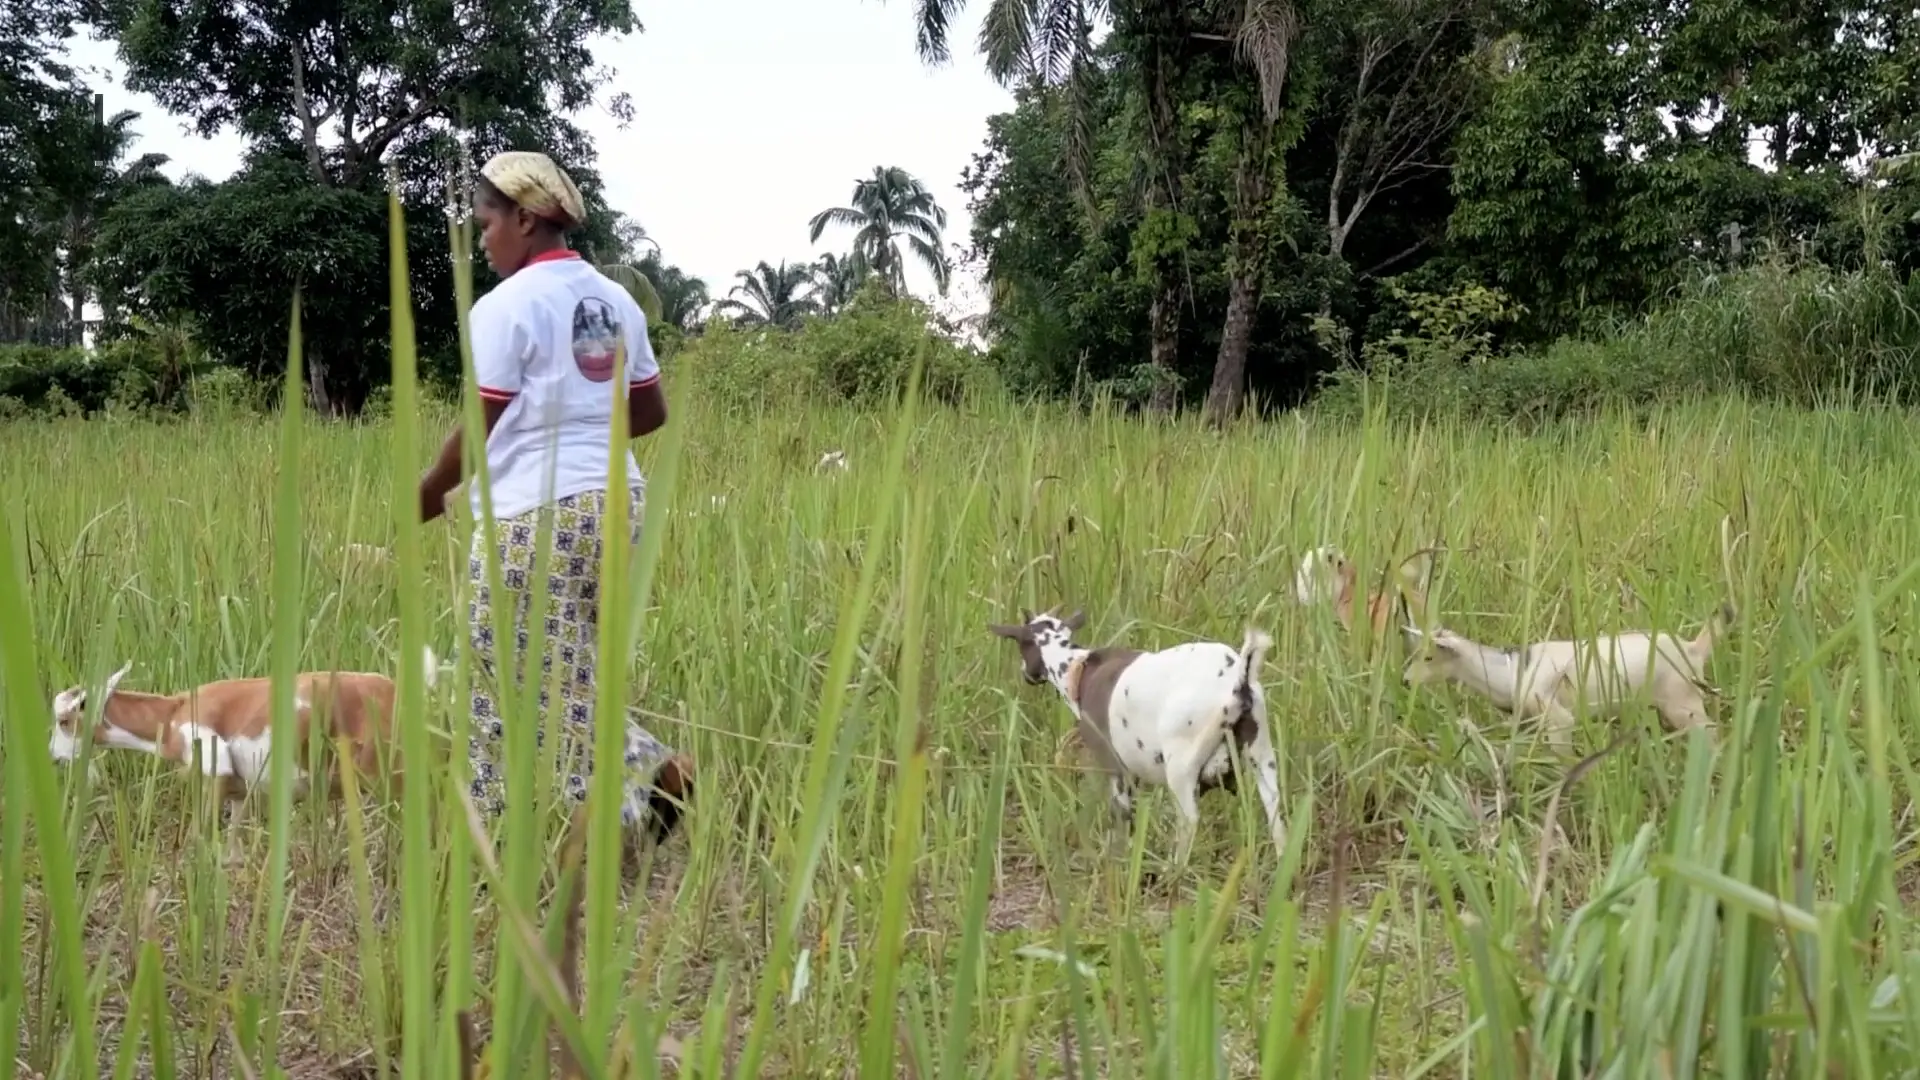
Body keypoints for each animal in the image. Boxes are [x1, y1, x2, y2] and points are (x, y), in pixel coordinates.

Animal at [983, 611, 1282, 860]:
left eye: (1022, 644)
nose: (1027, 674)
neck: (1078, 668)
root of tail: (1237, 681)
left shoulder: (1115, 768)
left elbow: (1121, 820)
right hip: (1262, 756)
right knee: (1276, 813)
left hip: (1181, 768)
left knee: (1188, 821)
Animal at [1397, 595, 1743, 749]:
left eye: (1429, 657)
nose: (1404, 681)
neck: (1509, 672)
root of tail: (1694, 648)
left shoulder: (1557, 716)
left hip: (1683, 703)